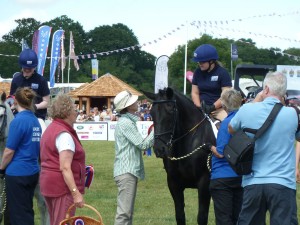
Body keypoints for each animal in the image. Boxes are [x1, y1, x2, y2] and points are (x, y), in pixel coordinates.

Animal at [144, 87, 216, 225]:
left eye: (171, 111)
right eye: (152, 113)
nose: (159, 149)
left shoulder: (205, 183)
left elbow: (202, 217)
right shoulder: (174, 184)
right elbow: (180, 216)